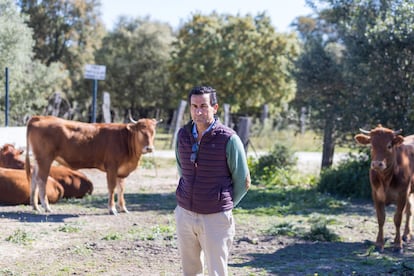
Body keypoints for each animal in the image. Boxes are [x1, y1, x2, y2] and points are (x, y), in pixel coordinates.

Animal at [25, 115, 158, 215]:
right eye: (141, 131)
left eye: (153, 132)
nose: (149, 148)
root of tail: (40, 117)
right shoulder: (112, 167)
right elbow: (112, 188)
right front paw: (112, 209)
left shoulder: (121, 170)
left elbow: (121, 189)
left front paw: (123, 208)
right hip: (45, 158)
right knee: (42, 180)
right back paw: (46, 207)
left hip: (38, 160)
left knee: (34, 178)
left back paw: (35, 206)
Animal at [354, 124, 414, 252]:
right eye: (371, 145)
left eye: (389, 146)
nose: (377, 164)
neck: (386, 179)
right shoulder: (376, 194)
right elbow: (381, 218)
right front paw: (379, 243)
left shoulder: (402, 194)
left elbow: (397, 218)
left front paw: (397, 245)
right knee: (410, 209)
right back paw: (406, 234)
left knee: (409, 211)